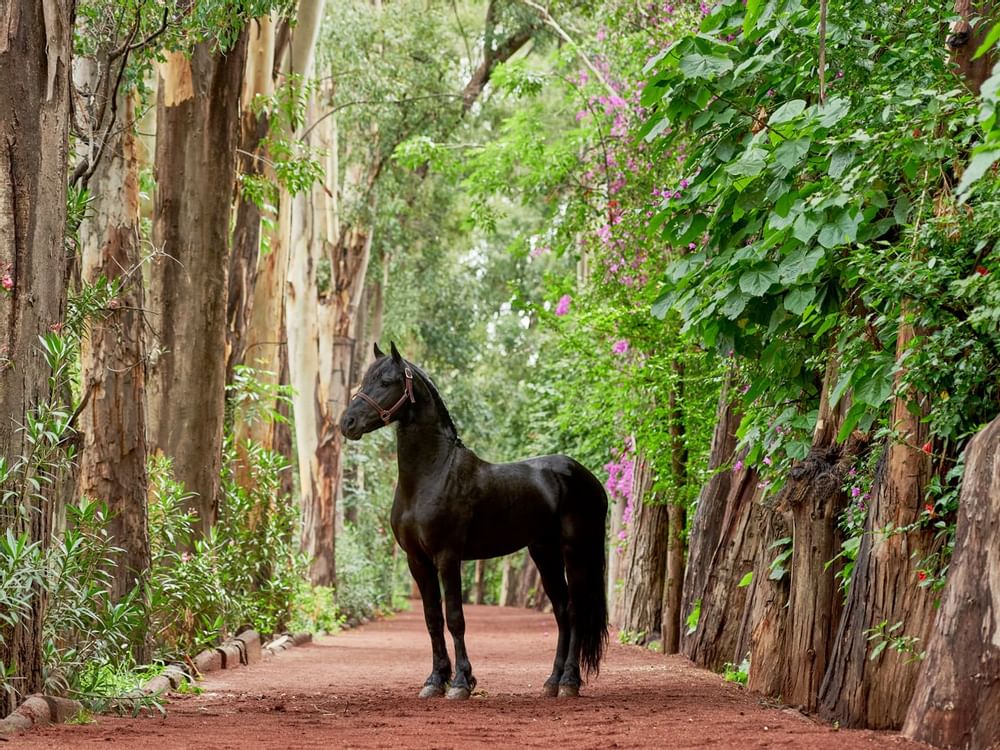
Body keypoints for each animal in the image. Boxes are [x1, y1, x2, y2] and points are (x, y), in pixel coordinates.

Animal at [338, 344, 608, 704]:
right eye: (365, 379)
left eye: (385, 381)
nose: (347, 422)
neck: (431, 474)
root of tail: (588, 478)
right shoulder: (417, 560)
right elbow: (432, 618)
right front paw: (435, 680)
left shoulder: (448, 557)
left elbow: (455, 618)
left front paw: (461, 683)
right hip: (544, 553)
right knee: (562, 611)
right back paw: (551, 681)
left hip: (575, 551)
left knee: (576, 611)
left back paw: (569, 682)